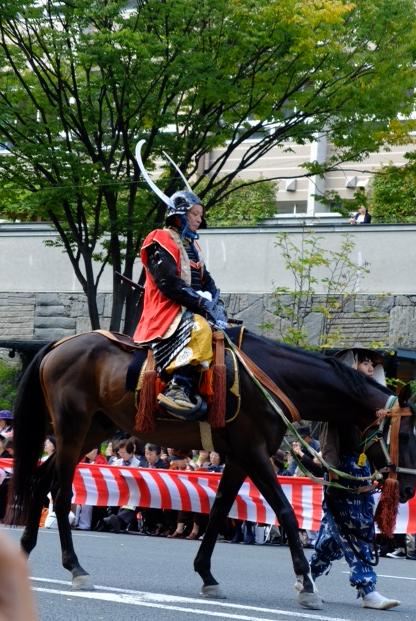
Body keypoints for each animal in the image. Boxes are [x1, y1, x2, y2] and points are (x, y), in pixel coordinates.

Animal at [6, 332, 416, 608]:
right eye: (407, 433)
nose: (409, 489)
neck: (274, 379)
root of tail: (58, 345)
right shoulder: (254, 453)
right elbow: (284, 511)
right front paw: (306, 583)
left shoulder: (238, 458)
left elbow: (219, 512)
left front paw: (207, 574)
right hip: (73, 427)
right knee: (60, 492)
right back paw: (75, 567)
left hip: (94, 429)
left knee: (42, 482)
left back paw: (25, 551)